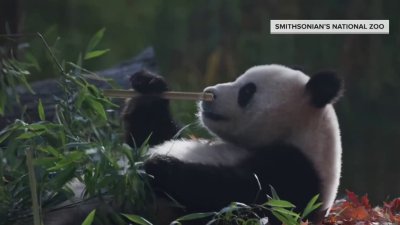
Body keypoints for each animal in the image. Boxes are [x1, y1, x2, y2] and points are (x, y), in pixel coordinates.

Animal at [122, 63, 344, 225]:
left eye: (247, 91)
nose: (208, 93)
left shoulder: (297, 175)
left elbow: (237, 198)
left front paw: (159, 166)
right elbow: (152, 134)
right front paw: (149, 83)